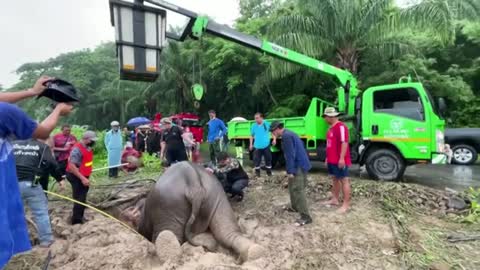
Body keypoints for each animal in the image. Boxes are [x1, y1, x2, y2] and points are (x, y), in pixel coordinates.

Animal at [120, 161, 262, 262]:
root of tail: (193, 182)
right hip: (218, 198)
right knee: (228, 232)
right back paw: (253, 252)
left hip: (168, 208)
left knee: (169, 237)